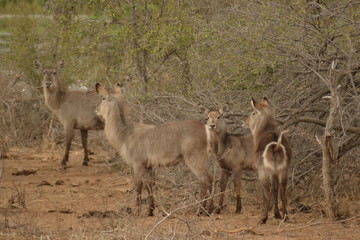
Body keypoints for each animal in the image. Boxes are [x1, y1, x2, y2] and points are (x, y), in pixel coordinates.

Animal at [95, 82, 218, 216]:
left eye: (103, 98)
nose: (96, 109)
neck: (125, 134)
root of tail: (206, 128)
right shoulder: (148, 166)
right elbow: (149, 186)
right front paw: (150, 210)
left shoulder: (137, 164)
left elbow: (138, 186)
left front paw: (137, 211)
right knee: (207, 181)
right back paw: (206, 209)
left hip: (195, 159)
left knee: (207, 180)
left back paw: (204, 210)